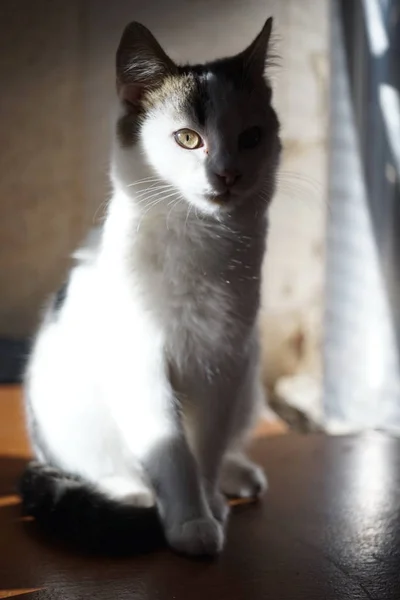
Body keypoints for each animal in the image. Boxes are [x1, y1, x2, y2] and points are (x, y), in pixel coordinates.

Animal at [19, 15, 282, 556]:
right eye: (187, 138)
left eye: (251, 137)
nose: (227, 174)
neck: (201, 237)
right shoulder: (139, 366)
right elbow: (172, 451)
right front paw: (191, 523)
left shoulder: (225, 360)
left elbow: (206, 448)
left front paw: (209, 502)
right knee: (103, 470)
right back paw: (134, 494)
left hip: (248, 373)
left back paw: (235, 479)